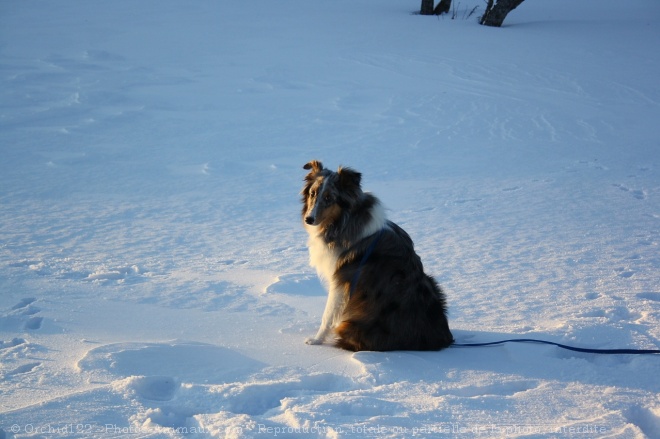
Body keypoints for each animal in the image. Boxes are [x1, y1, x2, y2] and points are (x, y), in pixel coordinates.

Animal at [300, 160, 452, 352]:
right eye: (312, 194)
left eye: (328, 198)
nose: (309, 219)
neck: (343, 222)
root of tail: (442, 340)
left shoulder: (341, 280)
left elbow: (328, 315)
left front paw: (316, 340)